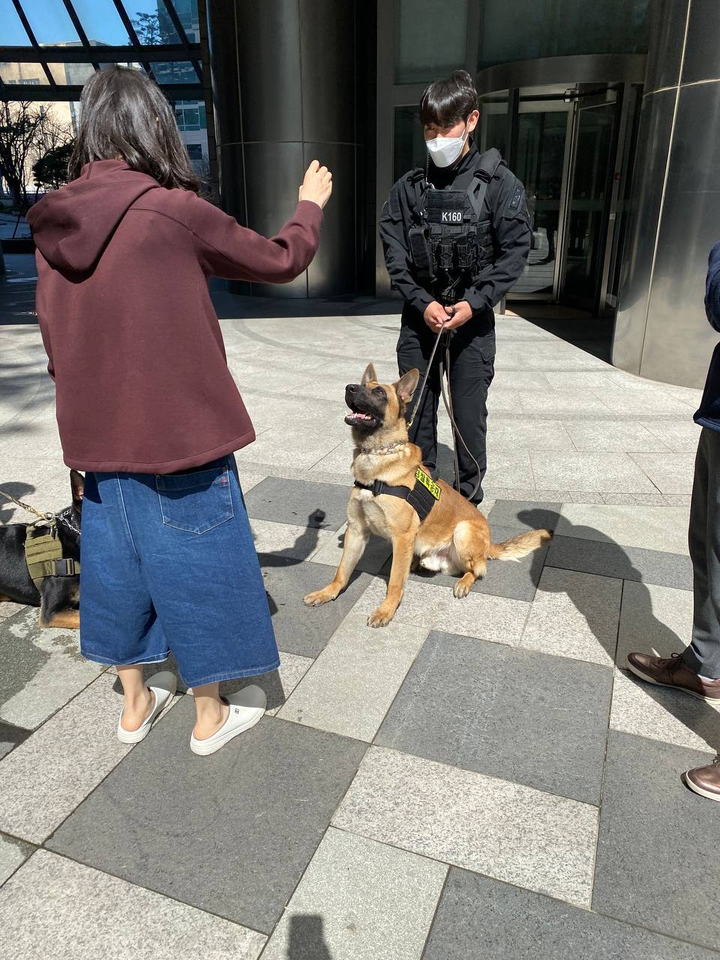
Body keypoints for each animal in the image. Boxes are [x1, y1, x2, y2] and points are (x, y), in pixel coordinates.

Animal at [304, 364, 552, 628]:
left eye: (379, 392)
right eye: (361, 386)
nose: (349, 388)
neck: (377, 455)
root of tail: (488, 545)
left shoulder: (402, 537)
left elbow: (394, 581)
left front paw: (386, 610)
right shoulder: (356, 530)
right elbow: (342, 571)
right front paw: (327, 592)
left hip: (463, 531)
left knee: (477, 570)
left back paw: (464, 582)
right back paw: (418, 564)